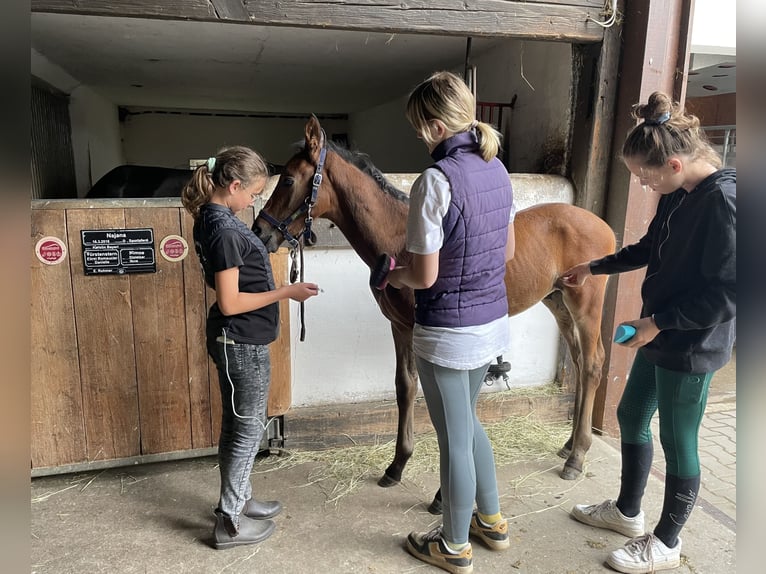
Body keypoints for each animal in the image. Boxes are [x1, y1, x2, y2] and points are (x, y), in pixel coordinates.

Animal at [255, 116, 616, 500]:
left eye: (288, 179)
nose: (260, 231)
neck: (402, 241)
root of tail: (603, 225)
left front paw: (446, 492)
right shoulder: (400, 327)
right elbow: (405, 387)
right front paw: (397, 465)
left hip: (585, 304)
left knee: (592, 364)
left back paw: (577, 456)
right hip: (557, 302)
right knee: (579, 360)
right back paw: (568, 445)